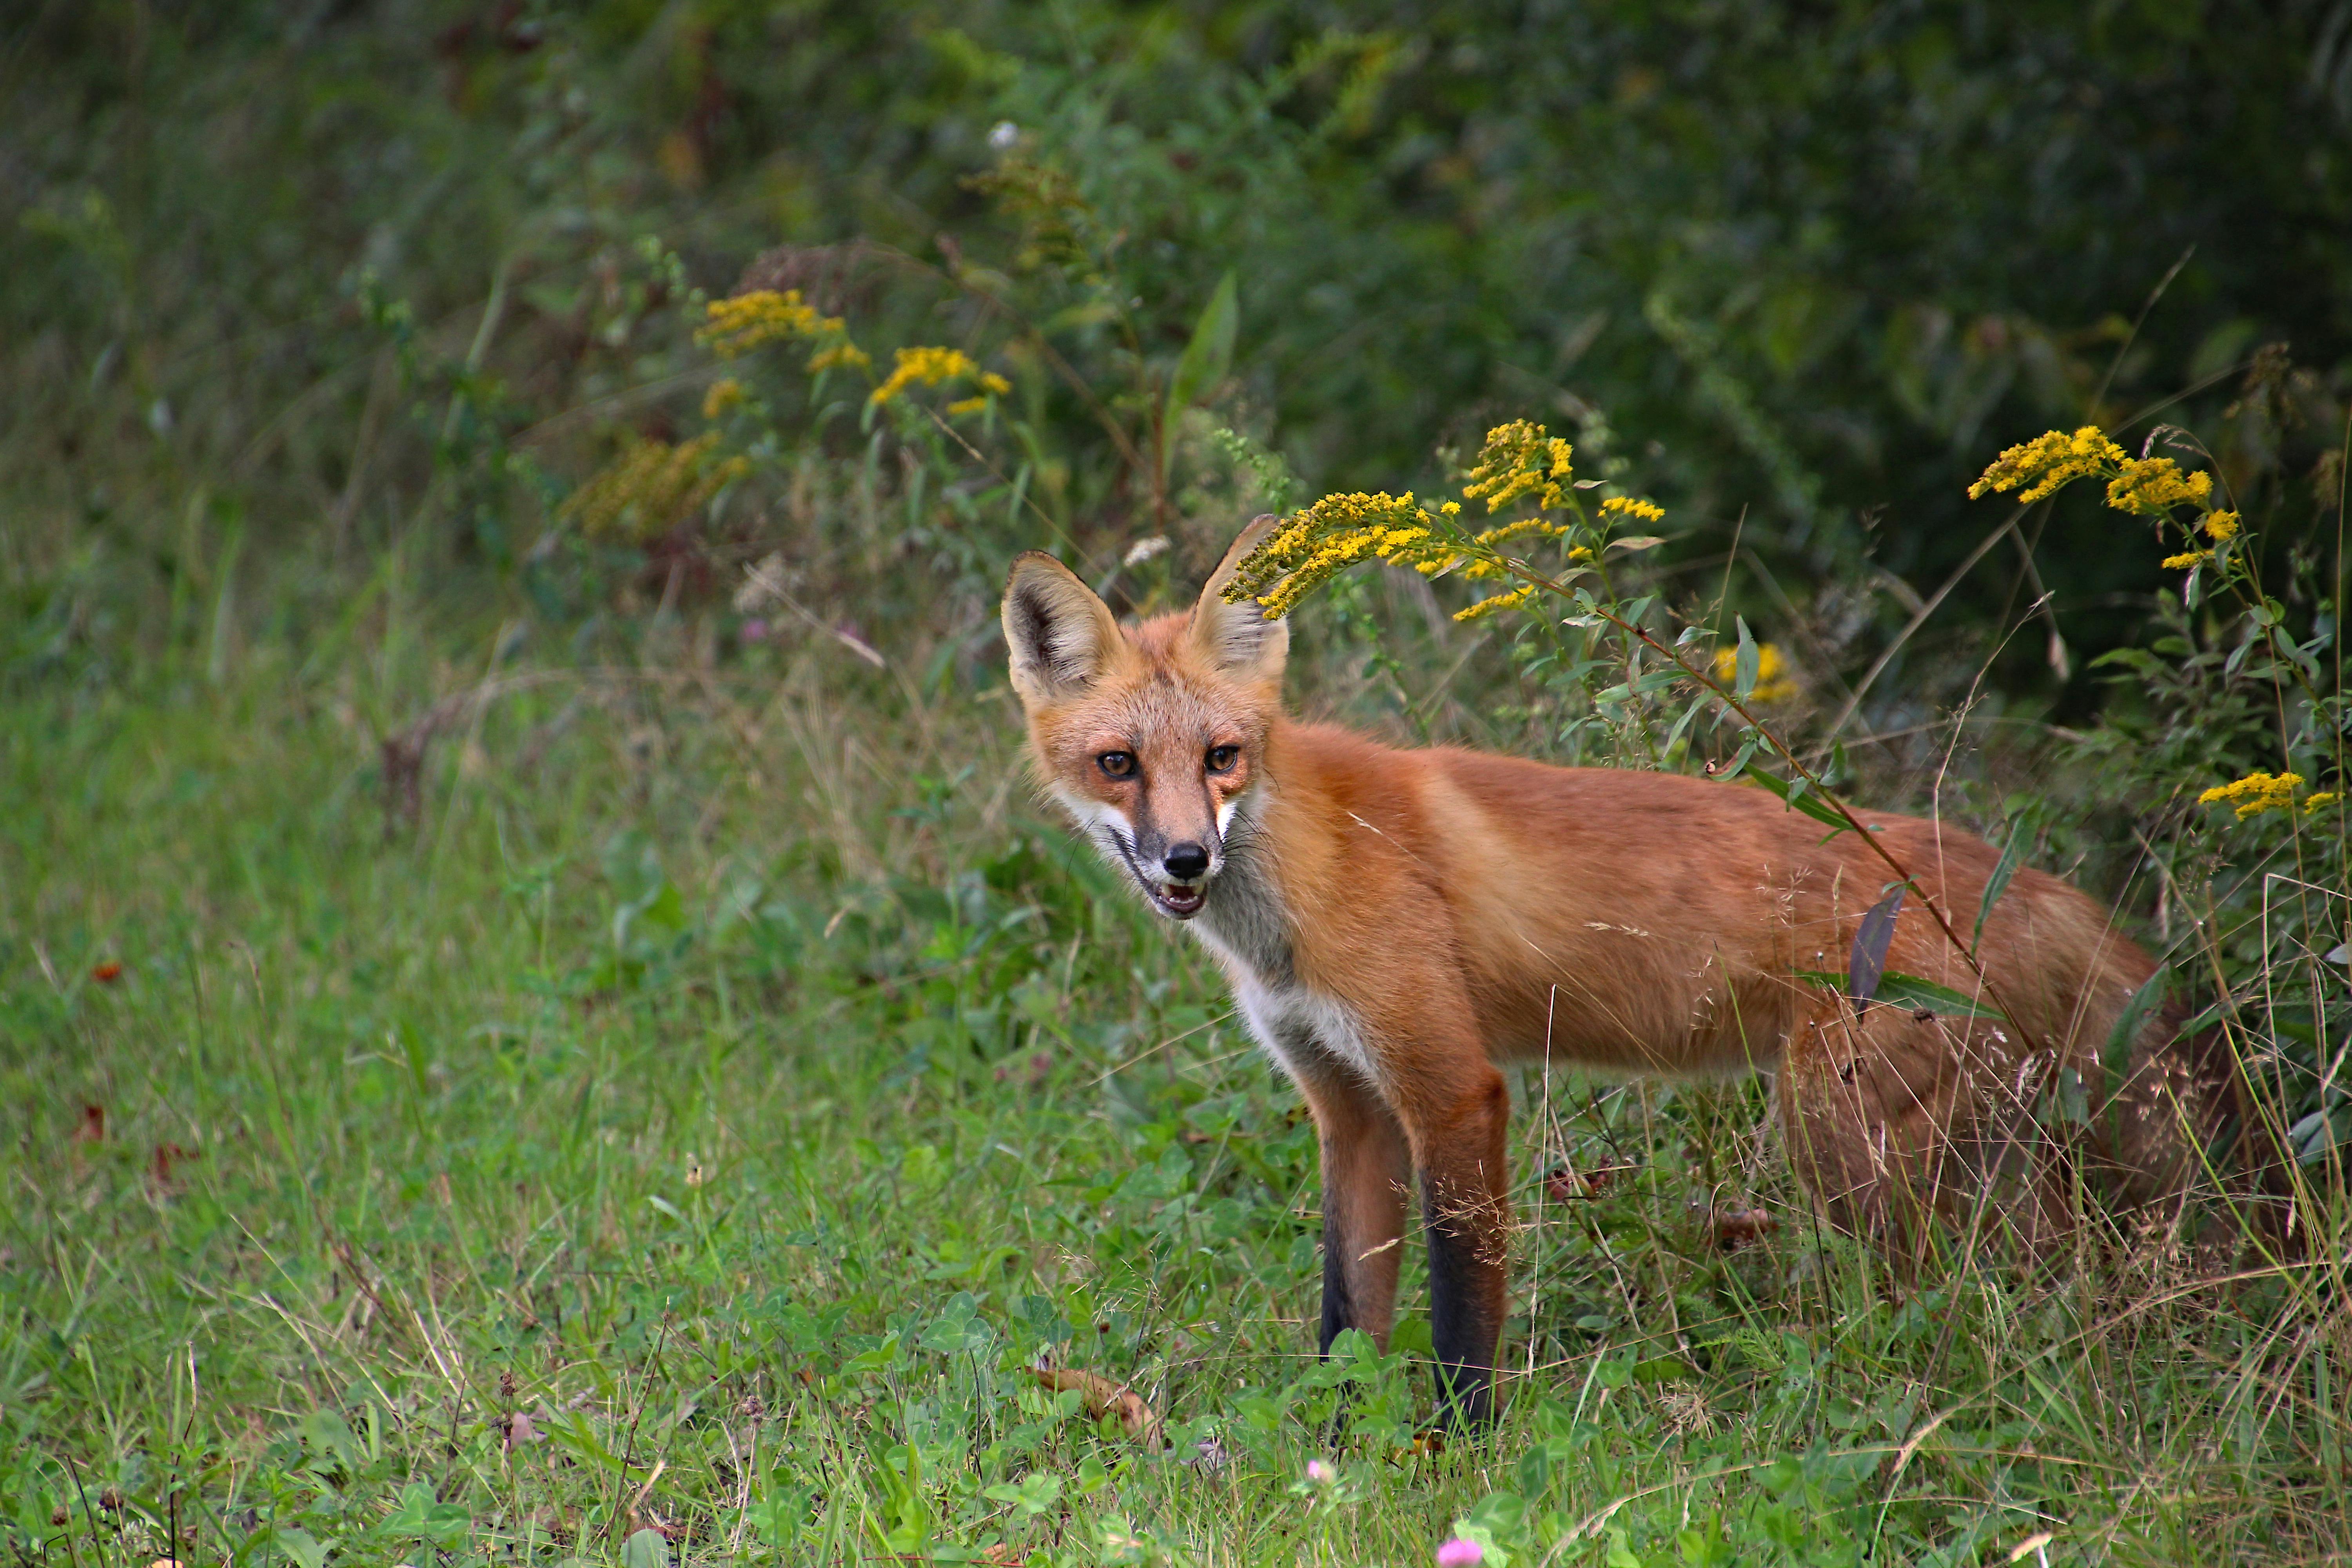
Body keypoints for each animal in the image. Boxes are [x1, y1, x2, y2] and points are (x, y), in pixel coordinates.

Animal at [1002, 522, 2230, 1429]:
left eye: (1222, 757)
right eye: (1118, 764)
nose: (1185, 860)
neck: (1309, 871)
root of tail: (2003, 873)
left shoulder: (1454, 1090)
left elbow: (1463, 1310)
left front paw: (1458, 1453)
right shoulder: (1350, 1108)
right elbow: (1349, 1317)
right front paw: (1335, 1450)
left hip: (1847, 1146)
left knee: (2012, 1298)